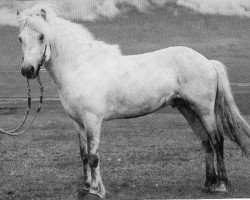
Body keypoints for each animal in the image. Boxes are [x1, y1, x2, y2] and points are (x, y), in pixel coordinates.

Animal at [18, 3, 250, 198]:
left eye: (42, 36)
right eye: (20, 38)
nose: (28, 70)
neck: (81, 66)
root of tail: (208, 62)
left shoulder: (92, 120)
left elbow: (93, 156)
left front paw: (97, 191)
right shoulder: (78, 123)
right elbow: (83, 155)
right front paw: (85, 188)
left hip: (204, 109)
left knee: (217, 140)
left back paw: (222, 185)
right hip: (187, 109)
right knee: (205, 142)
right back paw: (208, 184)